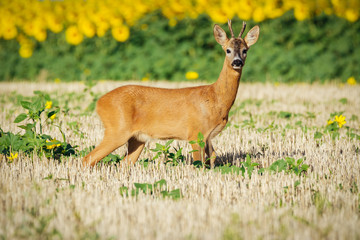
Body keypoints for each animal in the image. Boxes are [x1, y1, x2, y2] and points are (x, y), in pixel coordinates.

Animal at [83, 19, 260, 168]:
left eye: (245, 50)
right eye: (228, 50)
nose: (237, 62)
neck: (216, 98)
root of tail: (99, 102)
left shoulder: (208, 136)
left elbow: (213, 158)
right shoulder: (195, 133)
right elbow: (199, 164)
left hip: (137, 138)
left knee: (124, 163)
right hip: (117, 129)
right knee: (88, 158)